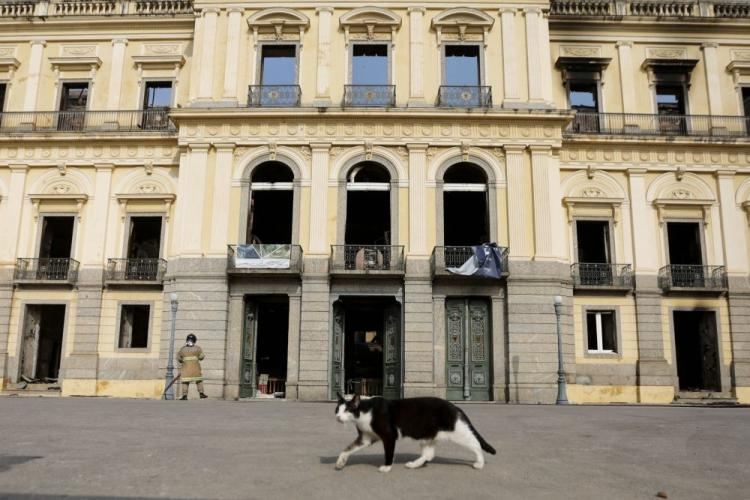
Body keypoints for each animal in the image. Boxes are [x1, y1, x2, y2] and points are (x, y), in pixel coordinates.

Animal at [336, 392, 500, 470]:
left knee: (476, 444)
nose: (338, 417)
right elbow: (346, 449)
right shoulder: (366, 438)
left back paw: (479, 463)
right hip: (427, 436)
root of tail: (455, 406)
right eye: (337, 410)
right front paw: (340, 463)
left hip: (458, 432)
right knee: (428, 455)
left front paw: (387, 467)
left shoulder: (389, 435)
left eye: (348, 410)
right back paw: (413, 465)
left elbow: (389, 453)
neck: (365, 412)